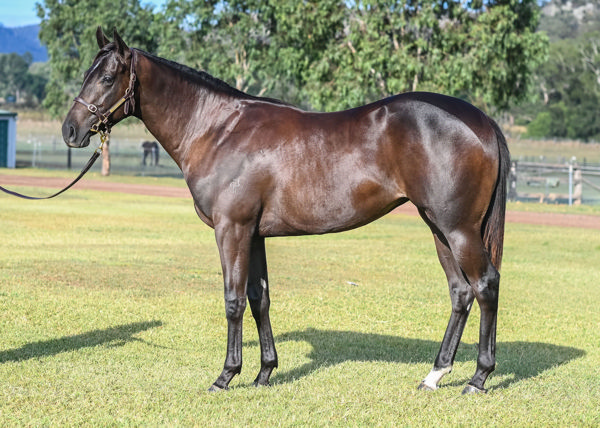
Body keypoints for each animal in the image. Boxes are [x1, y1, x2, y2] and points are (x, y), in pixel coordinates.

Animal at [61, 27, 508, 394]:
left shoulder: (232, 229)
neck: (218, 129)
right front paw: (264, 373)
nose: (70, 129)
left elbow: (233, 300)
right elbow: (259, 298)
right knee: (461, 292)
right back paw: (434, 375)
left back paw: (478, 378)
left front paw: (226, 376)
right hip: (438, 227)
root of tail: (481, 120)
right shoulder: (254, 234)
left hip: (458, 229)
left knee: (485, 285)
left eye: (106, 78)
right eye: (86, 73)